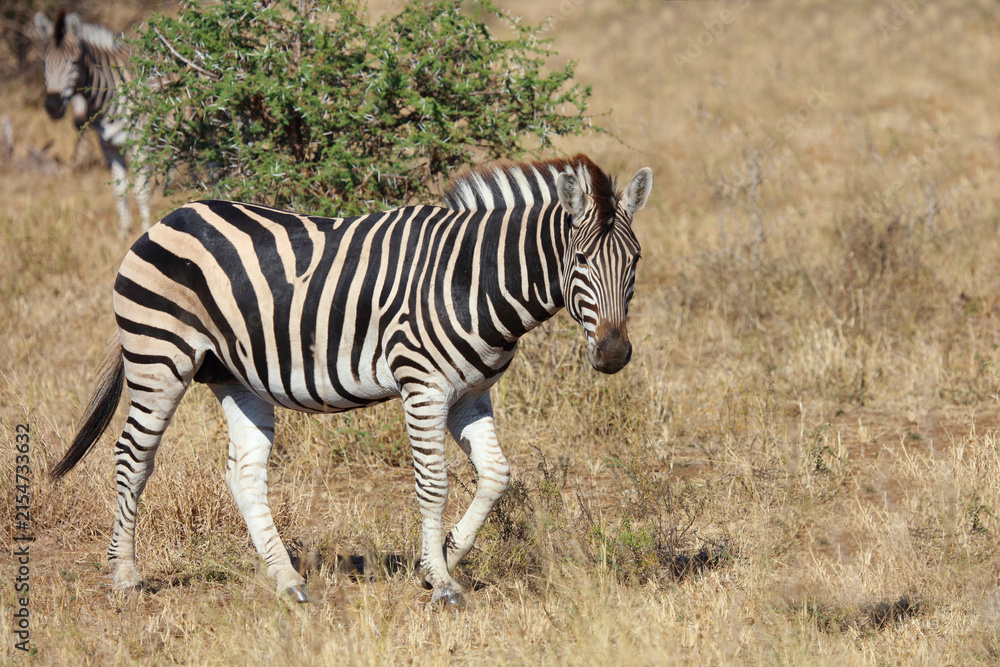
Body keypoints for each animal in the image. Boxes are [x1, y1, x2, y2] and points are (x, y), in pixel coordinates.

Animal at [33, 10, 152, 236]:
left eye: (74, 62)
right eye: (45, 63)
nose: (52, 106)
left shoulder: (140, 142)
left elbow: (141, 191)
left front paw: (146, 230)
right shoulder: (108, 146)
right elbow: (119, 190)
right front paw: (123, 232)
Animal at [51, 154, 653, 606]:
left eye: (636, 261)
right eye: (580, 259)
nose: (614, 354)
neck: (474, 279)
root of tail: (169, 218)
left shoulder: (471, 395)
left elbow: (496, 476)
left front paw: (438, 560)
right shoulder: (423, 386)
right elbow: (433, 484)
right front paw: (443, 585)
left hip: (236, 375)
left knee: (244, 473)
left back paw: (288, 581)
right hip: (159, 356)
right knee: (133, 458)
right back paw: (125, 577)